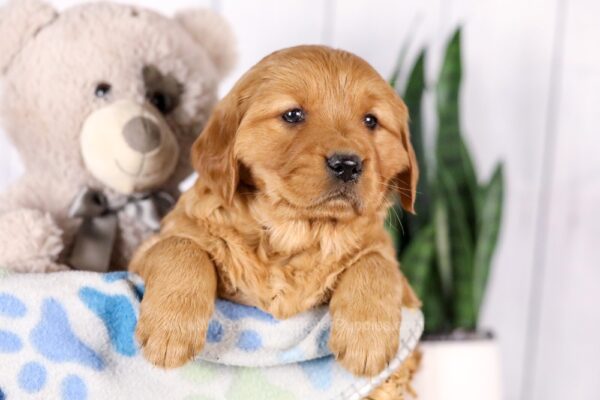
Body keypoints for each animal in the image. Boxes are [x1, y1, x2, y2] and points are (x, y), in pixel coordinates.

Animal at [130, 45, 422, 376]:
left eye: (371, 121)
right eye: (293, 115)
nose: (348, 164)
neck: (296, 231)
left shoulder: (403, 284)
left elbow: (377, 263)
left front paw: (367, 342)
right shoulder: (146, 252)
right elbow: (181, 247)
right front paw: (169, 333)